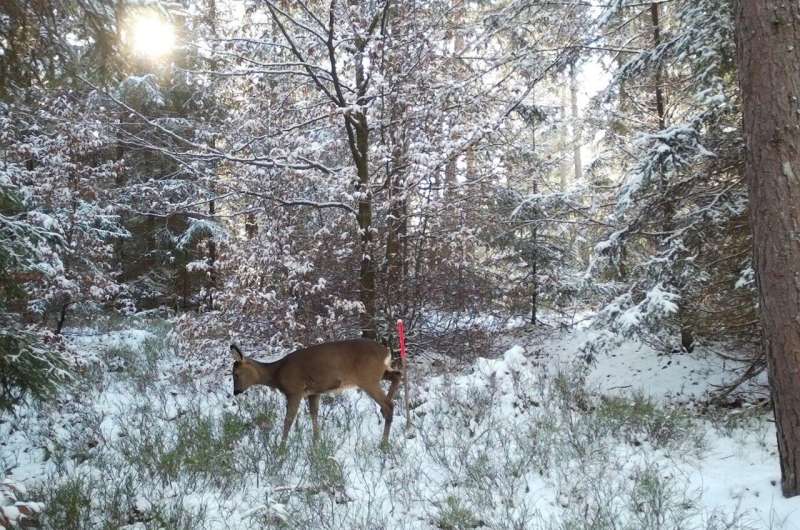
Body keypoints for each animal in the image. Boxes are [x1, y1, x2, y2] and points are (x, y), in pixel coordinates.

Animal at [230, 339, 403, 448]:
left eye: (236, 374)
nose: (236, 392)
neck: (277, 373)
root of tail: (386, 351)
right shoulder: (314, 393)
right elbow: (314, 414)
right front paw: (316, 443)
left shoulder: (295, 390)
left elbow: (288, 420)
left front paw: (281, 449)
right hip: (378, 374)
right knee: (397, 375)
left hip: (367, 378)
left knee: (389, 405)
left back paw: (383, 444)